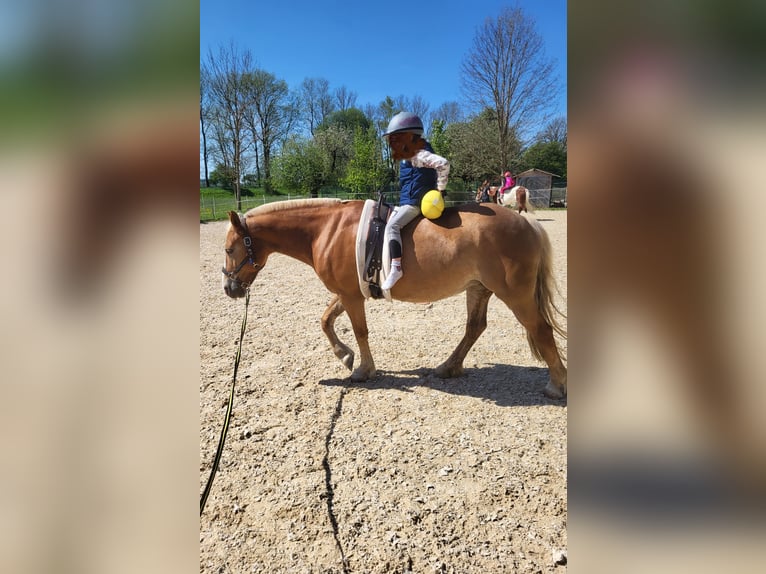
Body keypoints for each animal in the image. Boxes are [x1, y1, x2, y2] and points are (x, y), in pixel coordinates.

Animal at [221, 199, 567, 399]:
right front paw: (344, 356)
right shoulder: (346, 292)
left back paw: (557, 384)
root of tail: (525, 221)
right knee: (475, 328)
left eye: (228, 249)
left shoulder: (351, 296)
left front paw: (362, 369)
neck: (327, 229)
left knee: (541, 330)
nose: (229, 288)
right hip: (478, 288)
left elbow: (359, 331)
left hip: (515, 294)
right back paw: (448, 366)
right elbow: (326, 320)